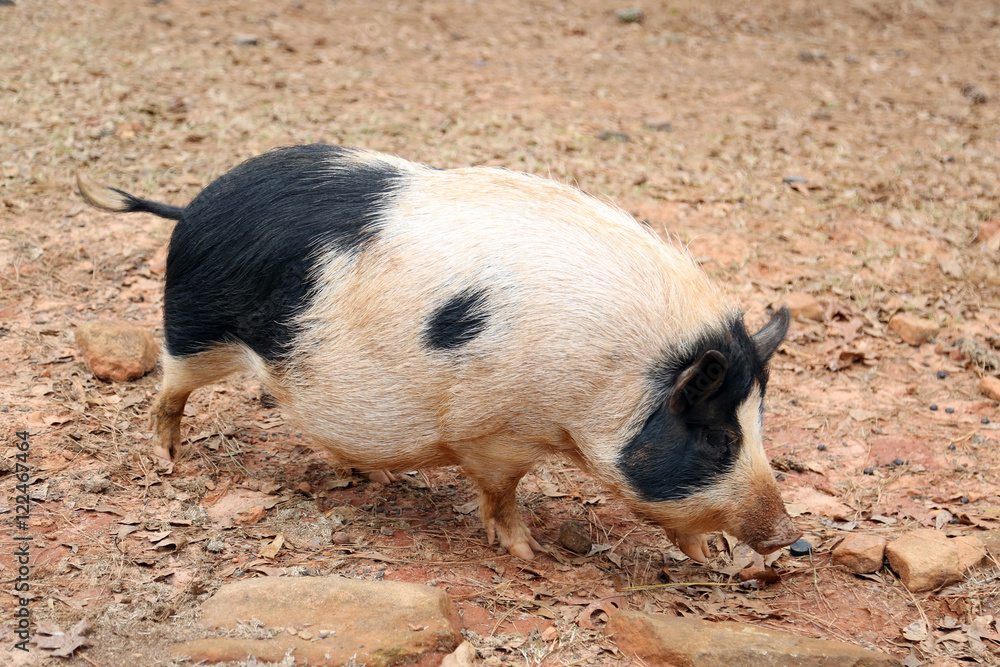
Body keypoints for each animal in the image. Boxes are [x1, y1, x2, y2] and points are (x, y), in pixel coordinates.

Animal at [76, 144, 800, 561]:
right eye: (718, 440)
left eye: (759, 428)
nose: (787, 536)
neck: (606, 383)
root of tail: (192, 206)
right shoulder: (496, 431)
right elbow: (503, 493)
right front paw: (533, 556)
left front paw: (707, 555)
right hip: (195, 330)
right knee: (168, 390)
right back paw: (168, 462)